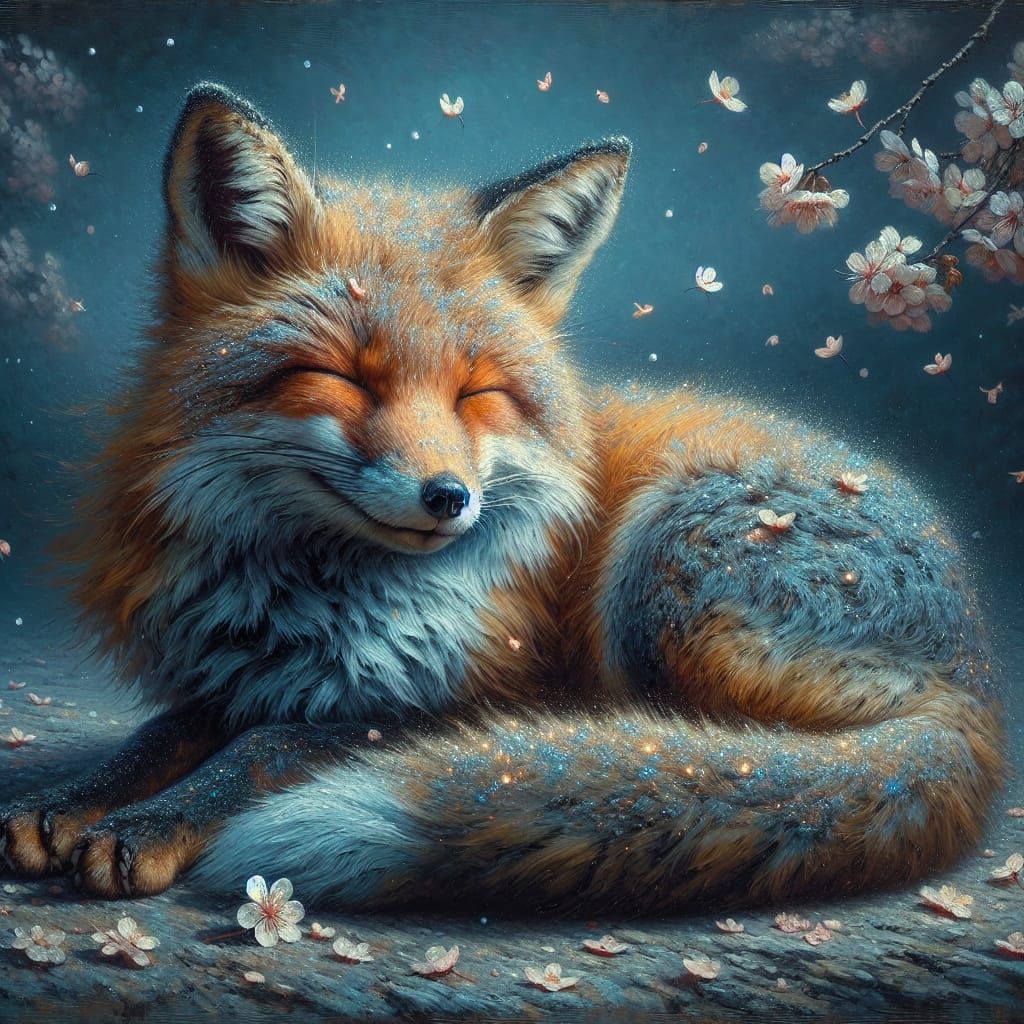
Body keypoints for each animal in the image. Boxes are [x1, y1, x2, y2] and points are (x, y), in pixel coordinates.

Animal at [0, 82, 1004, 912]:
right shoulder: (248, 678)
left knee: (717, 751)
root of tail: (977, 682)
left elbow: (266, 746)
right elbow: (168, 731)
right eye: (343, 379)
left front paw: (146, 823)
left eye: (475, 393)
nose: (448, 497)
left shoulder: (472, 697)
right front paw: (72, 800)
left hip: (661, 575)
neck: (312, 601)